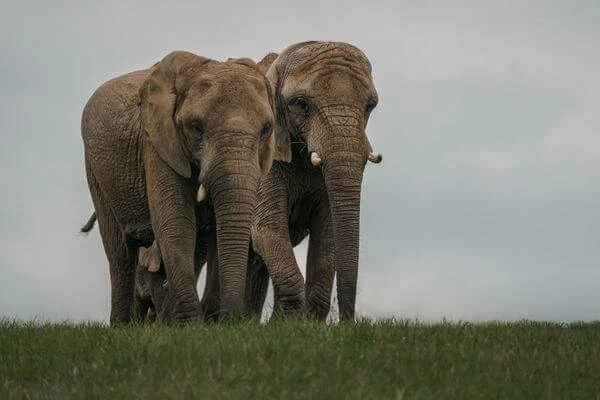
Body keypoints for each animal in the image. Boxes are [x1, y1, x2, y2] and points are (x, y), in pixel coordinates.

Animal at [81, 50, 288, 324]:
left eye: (266, 129)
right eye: (195, 127)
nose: (233, 319)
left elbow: (217, 231)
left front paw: (213, 322)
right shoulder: (157, 144)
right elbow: (176, 221)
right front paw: (189, 324)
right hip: (96, 171)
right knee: (120, 252)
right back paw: (121, 326)